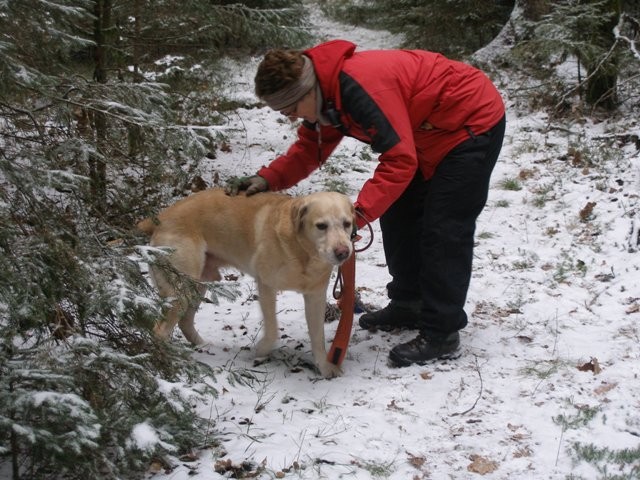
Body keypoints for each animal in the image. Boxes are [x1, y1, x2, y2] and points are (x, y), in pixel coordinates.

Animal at [138, 188, 356, 378]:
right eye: (321, 226)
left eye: (347, 224)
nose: (343, 252)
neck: (302, 252)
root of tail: (161, 218)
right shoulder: (266, 286)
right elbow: (273, 330)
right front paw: (261, 350)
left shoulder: (315, 296)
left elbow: (318, 339)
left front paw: (325, 368)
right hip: (181, 288)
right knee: (159, 331)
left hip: (198, 284)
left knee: (185, 321)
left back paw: (202, 346)